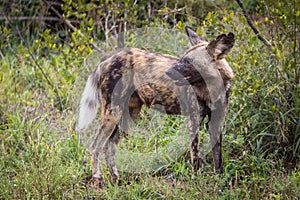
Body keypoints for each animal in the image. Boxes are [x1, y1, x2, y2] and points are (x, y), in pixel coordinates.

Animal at [78, 26, 236, 184]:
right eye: (181, 59)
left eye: (188, 62)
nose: (168, 72)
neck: (211, 89)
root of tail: (108, 59)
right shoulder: (194, 122)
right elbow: (195, 159)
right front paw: (196, 183)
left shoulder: (215, 123)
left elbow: (218, 159)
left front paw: (220, 180)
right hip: (113, 112)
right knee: (95, 145)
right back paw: (97, 178)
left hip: (129, 116)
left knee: (109, 145)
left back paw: (116, 180)